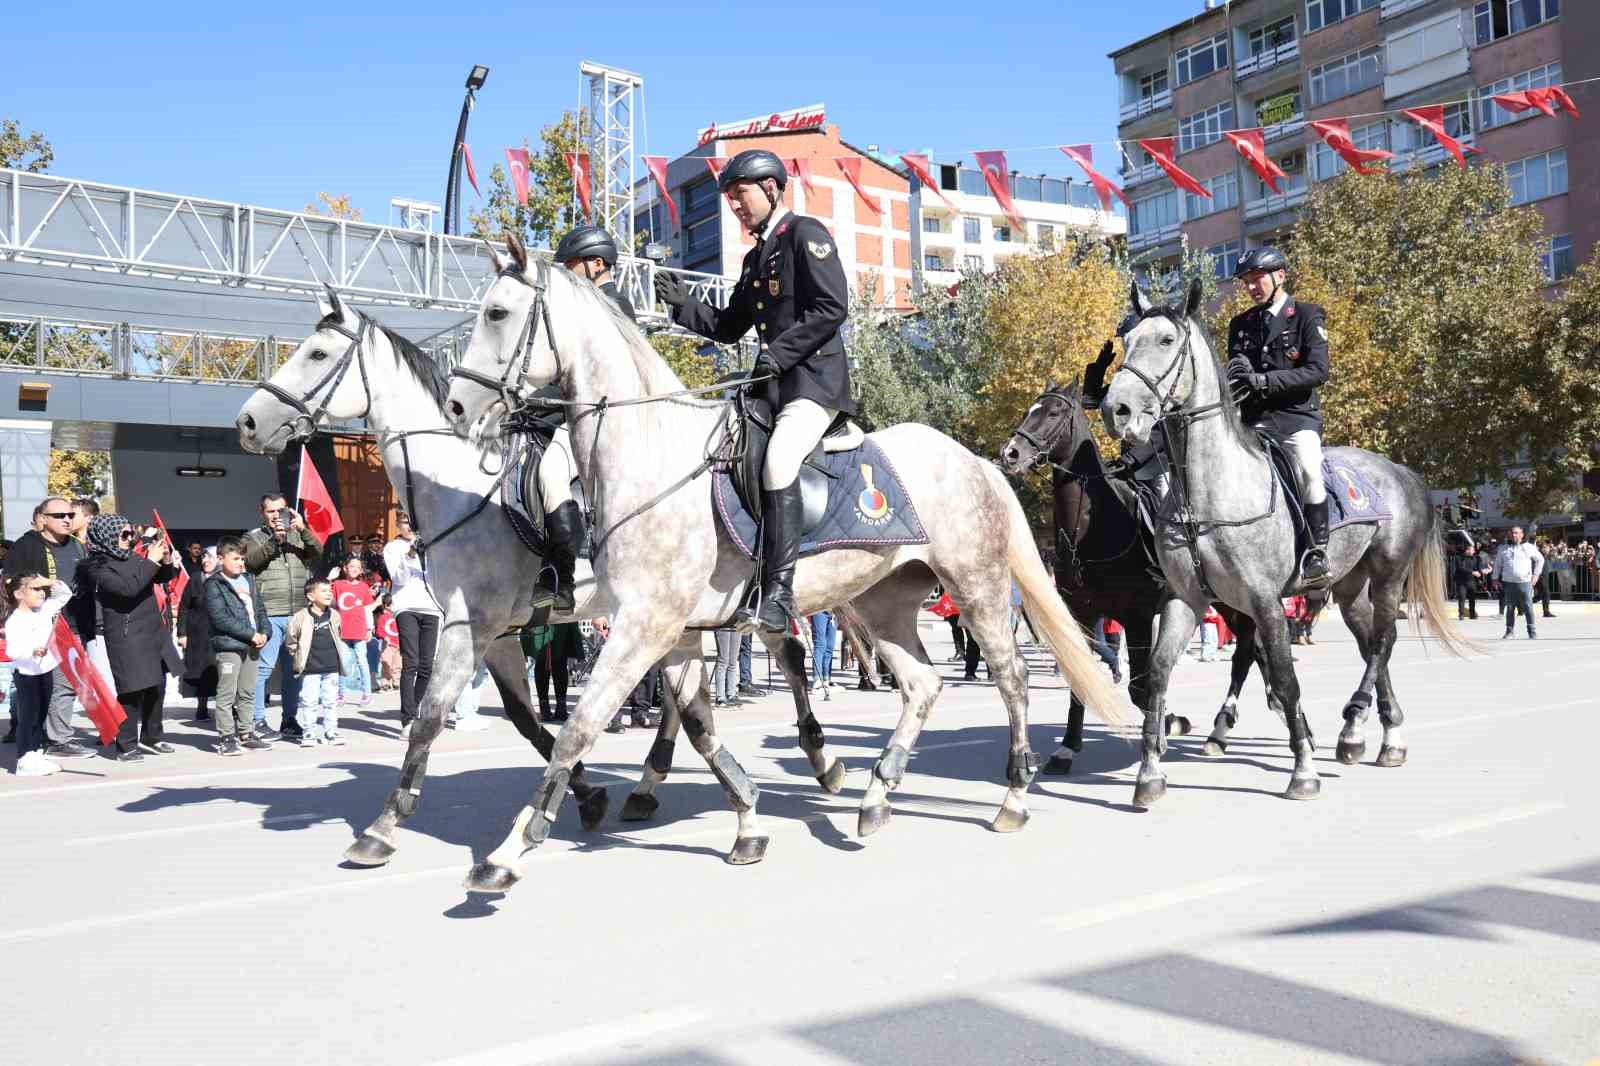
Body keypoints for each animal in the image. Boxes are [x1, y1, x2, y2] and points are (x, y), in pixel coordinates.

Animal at [444, 238, 1132, 889]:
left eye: (497, 313)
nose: (455, 408)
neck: (651, 454)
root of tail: (976, 461)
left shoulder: (644, 625)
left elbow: (579, 727)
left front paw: (509, 851)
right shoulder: (669, 628)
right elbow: (690, 721)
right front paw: (744, 819)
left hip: (977, 584)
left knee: (1011, 678)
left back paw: (1011, 797)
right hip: (882, 600)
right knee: (921, 682)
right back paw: (876, 795)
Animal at [1100, 278, 1472, 800]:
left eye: (1167, 341)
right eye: (1127, 342)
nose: (1117, 410)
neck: (1207, 494)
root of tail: (1402, 471)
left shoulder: (1265, 600)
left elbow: (1285, 678)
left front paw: (1304, 769)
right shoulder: (1185, 598)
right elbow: (1156, 675)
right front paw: (1150, 774)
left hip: (1388, 575)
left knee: (1383, 641)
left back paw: (1356, 724)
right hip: (1349, 586)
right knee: (1370, 643)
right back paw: (1380, 734)